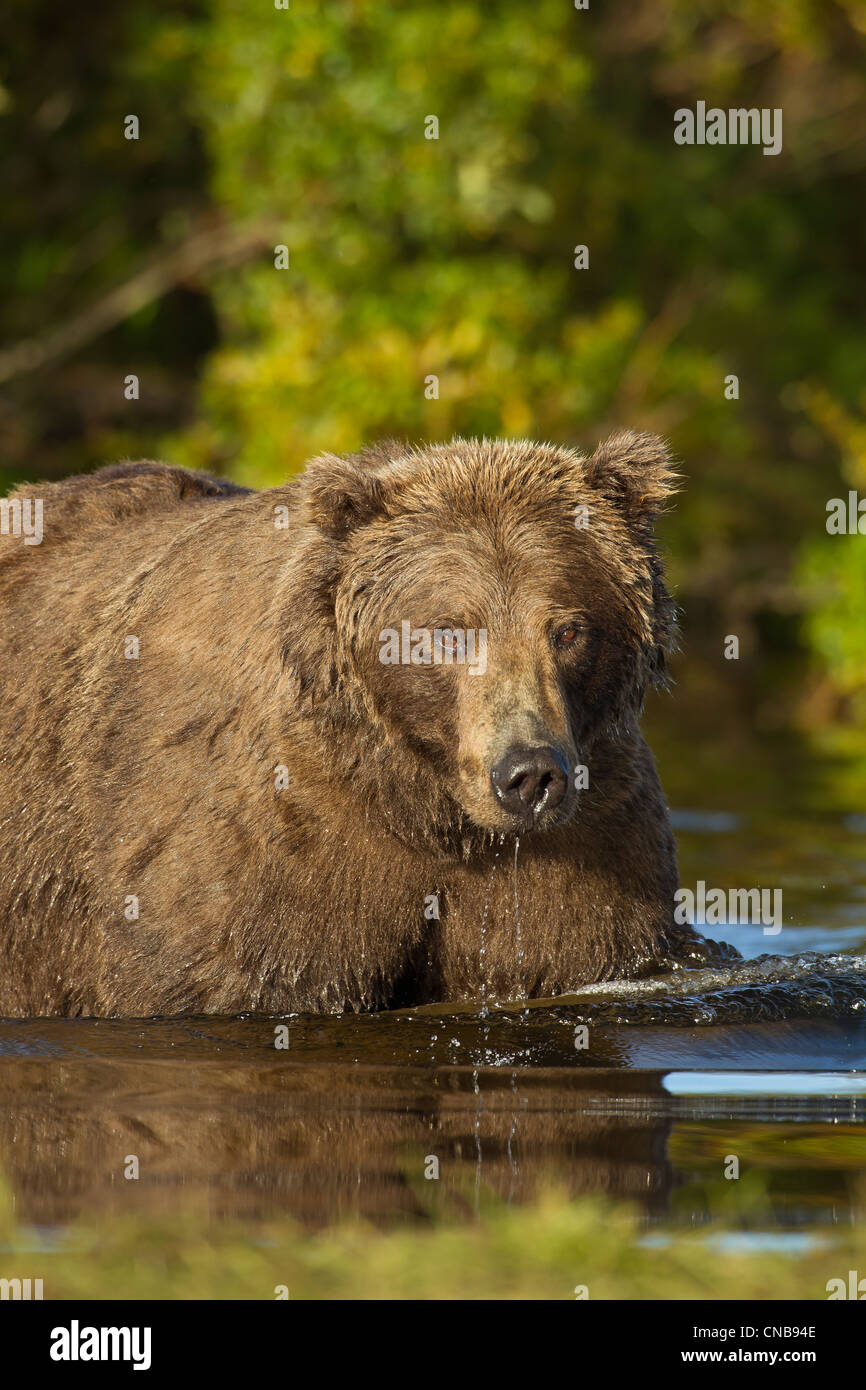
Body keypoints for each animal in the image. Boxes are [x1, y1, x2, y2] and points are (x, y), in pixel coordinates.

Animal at [0, 428, 692, 1017]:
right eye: (448, 632)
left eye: (569, 630)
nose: (528, 774)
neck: (424, 806)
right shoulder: (271, 838)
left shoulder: (588, 844)